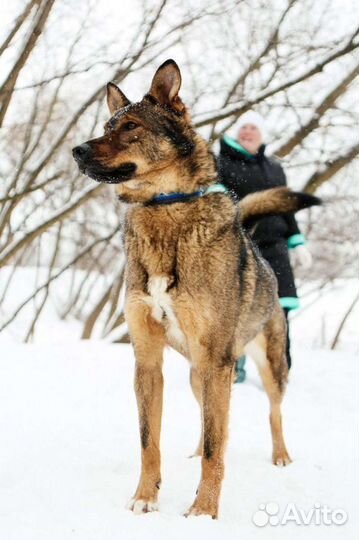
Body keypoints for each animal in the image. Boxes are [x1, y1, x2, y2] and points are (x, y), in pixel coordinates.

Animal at [72, 59, 320, 520]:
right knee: (208, 418)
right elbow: (150, 441)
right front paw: (145, 498)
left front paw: (203, 512)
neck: (164, 208)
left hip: (264, 365)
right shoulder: (147, 361)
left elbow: (214, 447)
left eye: (130, 126)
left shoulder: (218, 362)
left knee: (272, 412)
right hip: (197, 373)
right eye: (106, 125)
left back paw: (280, 456)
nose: (76, 150)